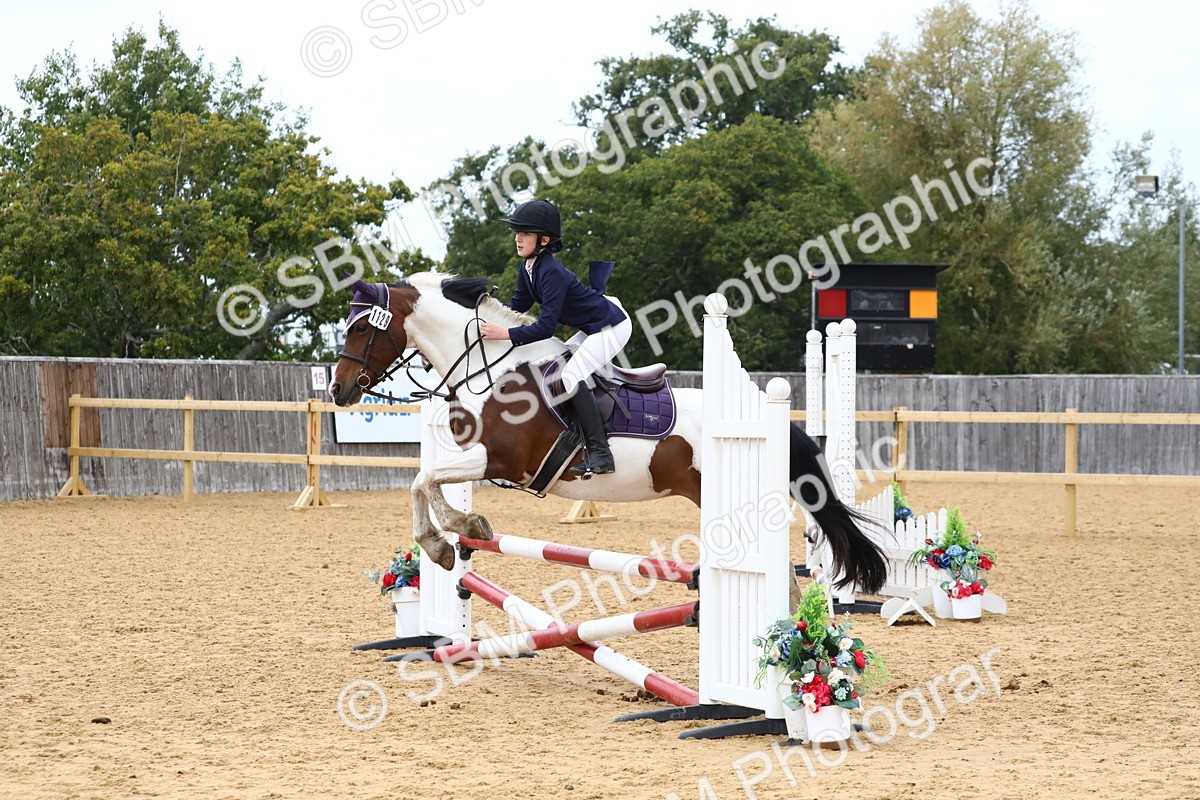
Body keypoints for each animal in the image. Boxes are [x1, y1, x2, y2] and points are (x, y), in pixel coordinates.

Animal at [328, 272, 886, 595]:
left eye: (363, 328)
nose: (338, 390)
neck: (490, 369)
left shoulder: (501, 459)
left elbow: (422, 480)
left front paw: (447, 539)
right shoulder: (477, 458)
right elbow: (426, 480)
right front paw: (462, 532)